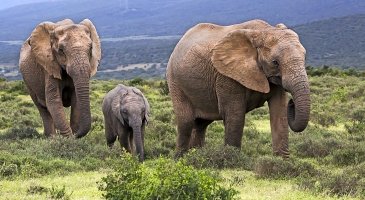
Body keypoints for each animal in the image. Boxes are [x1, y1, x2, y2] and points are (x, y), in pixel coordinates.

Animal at [166, 18, 308, 157]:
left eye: (304, 57)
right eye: (275, 62)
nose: (292, 102)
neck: (264, 30)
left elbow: (279, 113)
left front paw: (280, 161)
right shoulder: (227, 75)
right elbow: (235, 115)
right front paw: (232, 158)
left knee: (201, 124)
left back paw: (196, 155)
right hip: (175, 82)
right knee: (186, 121)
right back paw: (181, 158)